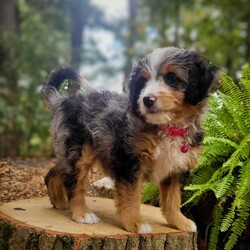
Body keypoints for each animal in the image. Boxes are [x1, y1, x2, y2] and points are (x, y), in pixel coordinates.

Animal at [42, 46, 219, 233]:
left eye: (171, 78)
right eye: (143, 82)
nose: (147, 99)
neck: (168, 127)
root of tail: (63, 100)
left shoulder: (176, 168)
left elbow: (173, 199)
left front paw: (179, 222)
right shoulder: (129, 161)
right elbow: (131, 197)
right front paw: (135, 223)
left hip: (69, 151)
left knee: (54, 173)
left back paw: (60, 203)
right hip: (80, 150)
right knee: (74, 182)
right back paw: (82, 213)